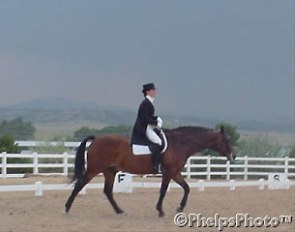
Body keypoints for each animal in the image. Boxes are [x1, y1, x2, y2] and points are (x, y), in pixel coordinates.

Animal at [65, 126, 236, 217]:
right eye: (226, 140)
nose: (233, 156)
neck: (179, 144)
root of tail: (96, 139)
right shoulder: (169, 173)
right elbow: (163, 191)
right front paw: (160, 211)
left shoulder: (175, 173)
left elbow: (187, 188)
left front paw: (179, 208)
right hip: (94, 170)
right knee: (79, 185)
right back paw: (66, 209)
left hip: (110, 171)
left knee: (107, 191)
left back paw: (120, 211)